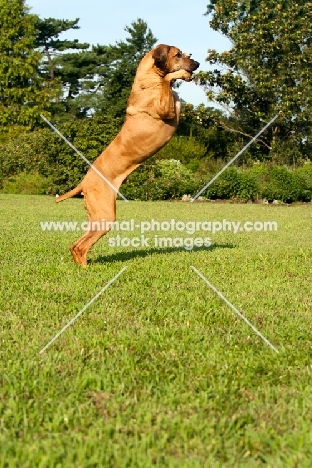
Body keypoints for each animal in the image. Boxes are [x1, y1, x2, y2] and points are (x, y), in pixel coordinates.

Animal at [56, 44, 200, 266]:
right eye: (178, 55)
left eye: (187, 54)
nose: (197, 64)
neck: (148, 79)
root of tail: (84, 182)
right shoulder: (165, 109)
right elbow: (168, 80)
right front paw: (179, 74)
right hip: (105, 216)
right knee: (81, 246)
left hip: (95, 217)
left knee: (76, 245)